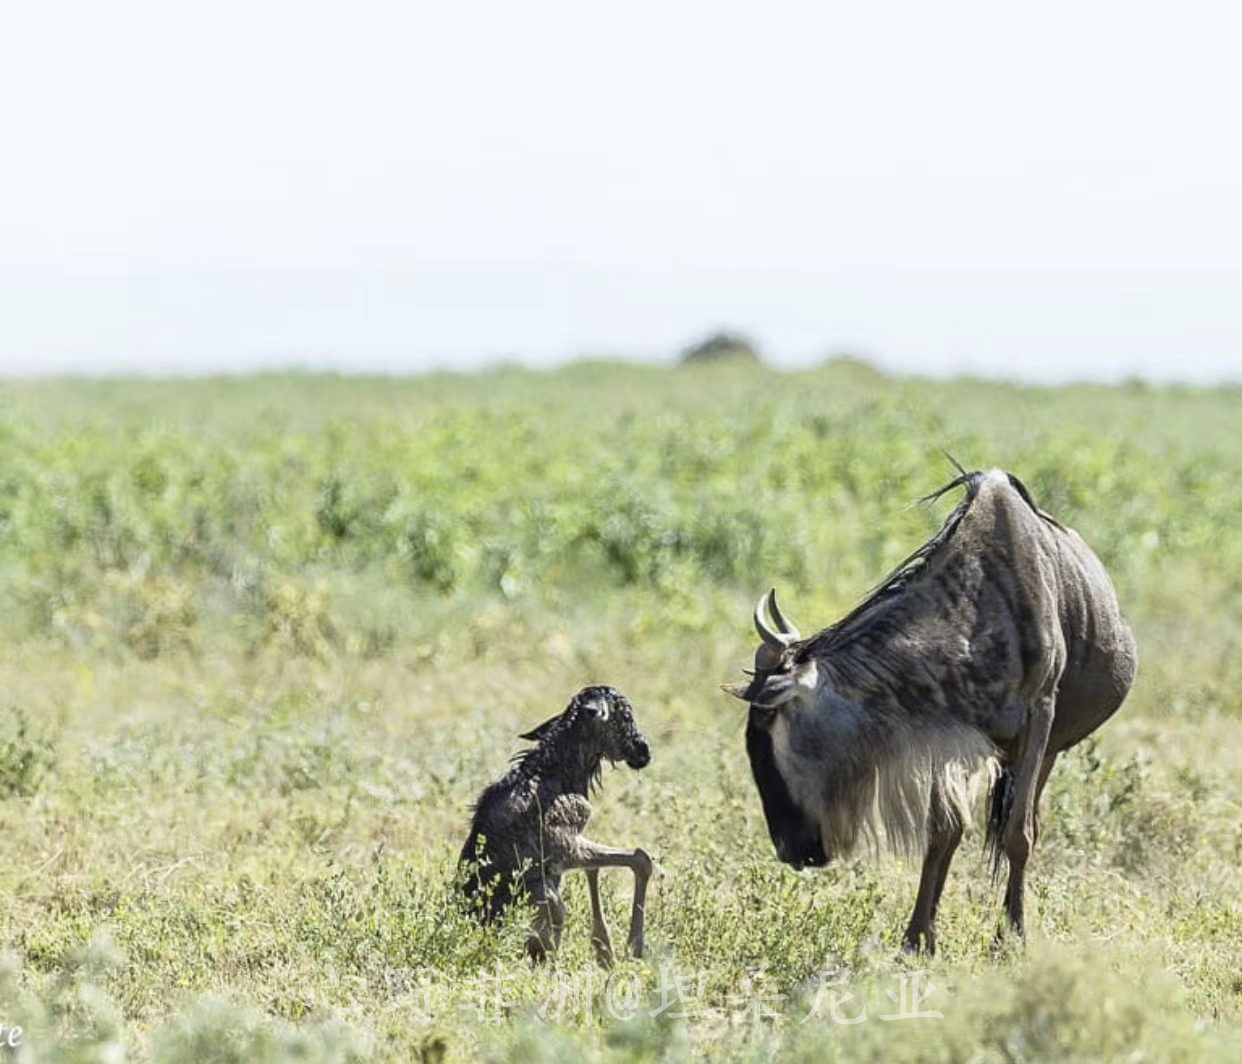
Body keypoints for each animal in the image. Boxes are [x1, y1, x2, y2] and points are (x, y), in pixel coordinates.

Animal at [462, 685, 655, 968]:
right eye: (625, 716)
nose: (644, 751)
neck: (558, 771)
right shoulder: (565, 847)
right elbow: (640, 858)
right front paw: (632, 947)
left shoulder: (565, 857)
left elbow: (595, 868)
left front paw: (604, 950)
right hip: (544, 897)